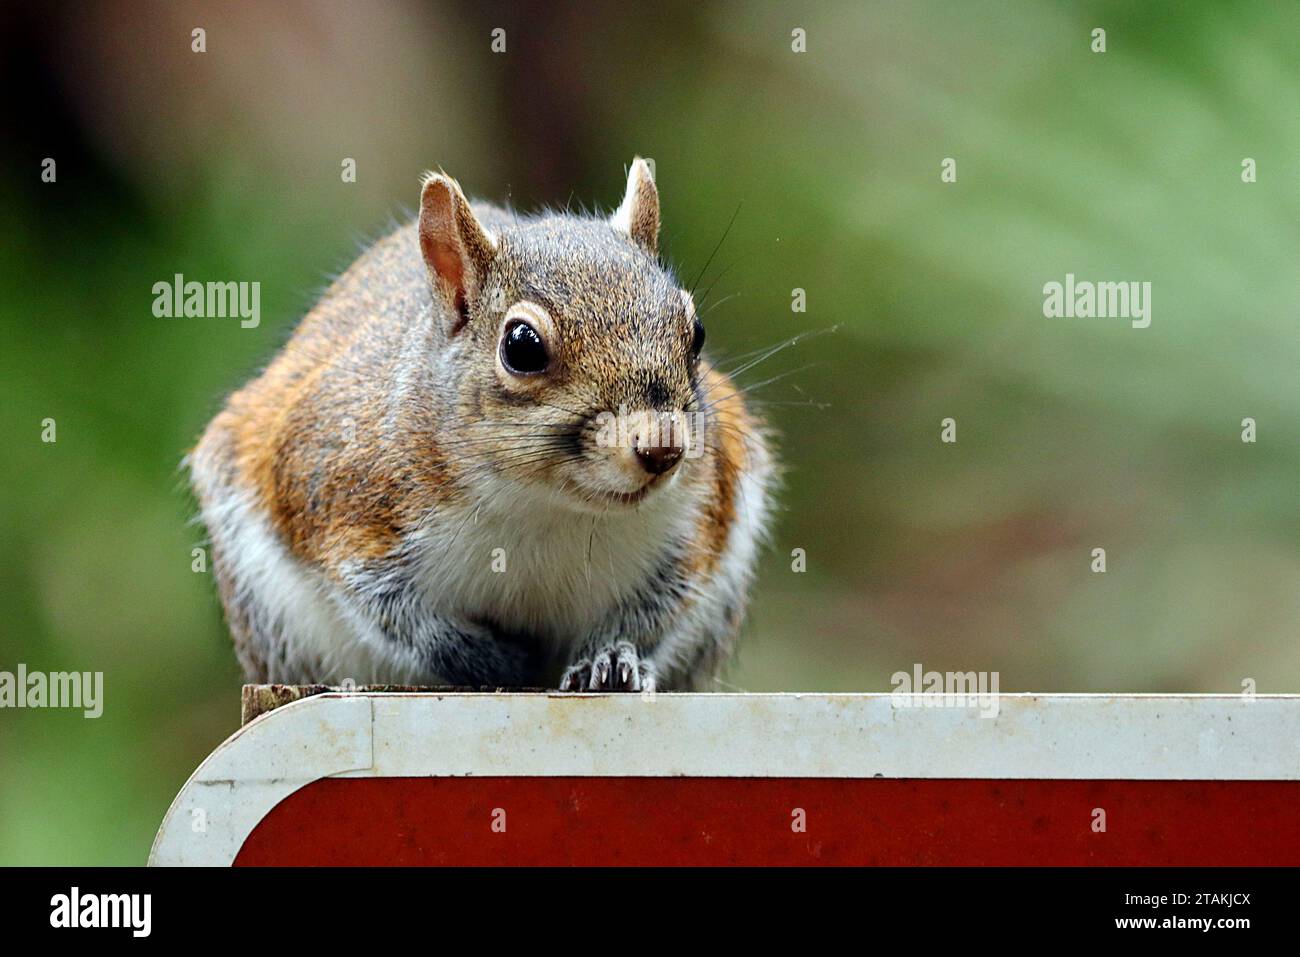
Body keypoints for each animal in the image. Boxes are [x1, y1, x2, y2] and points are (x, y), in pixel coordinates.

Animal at [189, 158, 775, 692]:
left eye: (696, 333)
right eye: (522, 345)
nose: (662, 448)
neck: (544, 506)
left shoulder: (697, 524)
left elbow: (655, 611)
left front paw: (612, 658)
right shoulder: (347, 513)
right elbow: (390, 612)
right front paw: (488, 659)